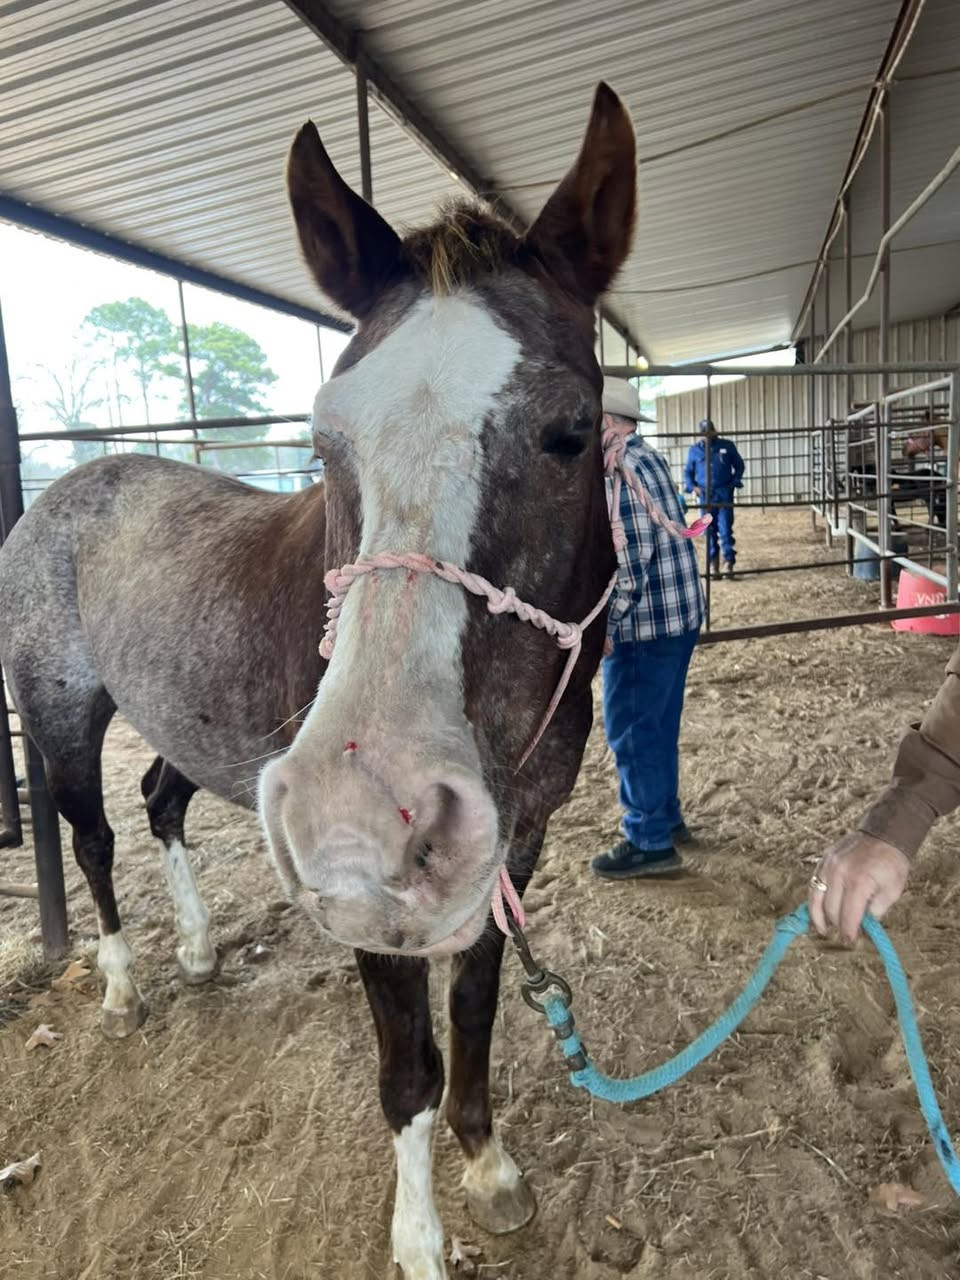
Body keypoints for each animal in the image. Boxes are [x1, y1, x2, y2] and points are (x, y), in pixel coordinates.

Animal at [0, 84, 636, 1279]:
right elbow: (410, 1067)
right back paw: (120, 983)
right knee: (93, 835)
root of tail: (65, 485)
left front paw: (490, 1167)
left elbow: (475, 1008)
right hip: (58, 715)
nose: (366, 807)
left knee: (157, 802)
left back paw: (200, 948)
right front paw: (420, 1239)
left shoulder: (510, 845)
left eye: (573, 430)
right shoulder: (377, 904)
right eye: (323, 439)